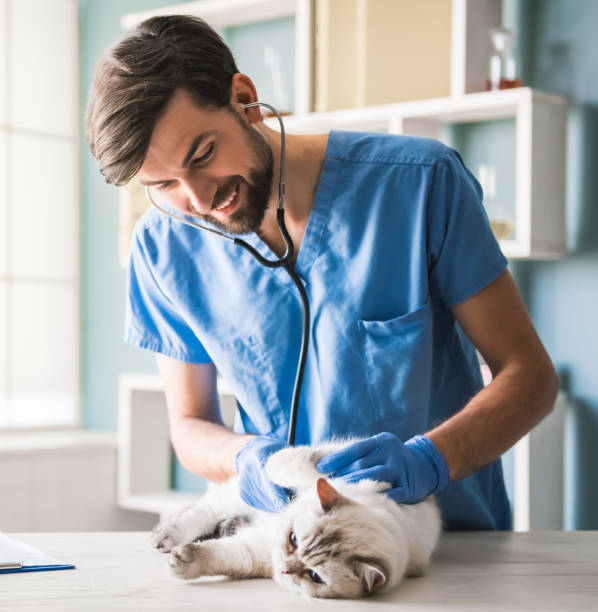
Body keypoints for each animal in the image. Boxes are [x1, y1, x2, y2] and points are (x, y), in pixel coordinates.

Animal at [152, 440, 442, 596]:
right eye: (293, 539)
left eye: (314, 576)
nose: (285, 568)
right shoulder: (320, 468)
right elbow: (284, 463)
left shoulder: (254, 553)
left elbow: (216, 556)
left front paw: (182, 563)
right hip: (235, 496)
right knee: (203, 511)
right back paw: (163, 536)